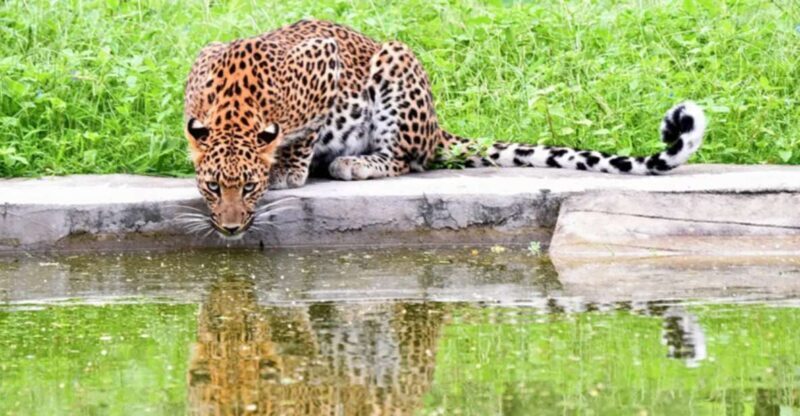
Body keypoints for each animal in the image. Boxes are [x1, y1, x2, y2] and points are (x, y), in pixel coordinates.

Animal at [183, 19, 707, 238]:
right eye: (211, 188)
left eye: (249, 188)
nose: (231, 227)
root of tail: (438, 127)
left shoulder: (324, 61)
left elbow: (304, 135)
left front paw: (288, 170)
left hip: (396, 63)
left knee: (407, 160)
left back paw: (354, 163)